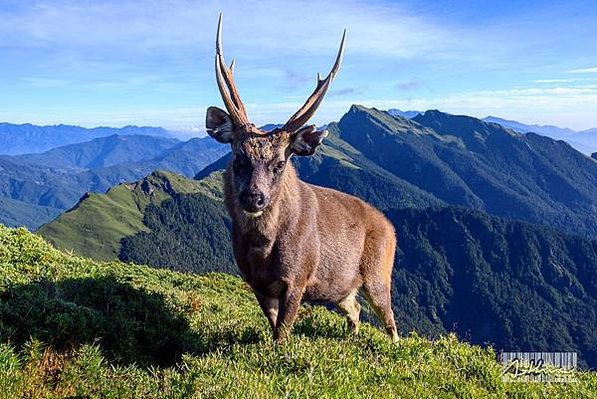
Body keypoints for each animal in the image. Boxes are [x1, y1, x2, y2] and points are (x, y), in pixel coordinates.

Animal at [207, 14, 398, 342]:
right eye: (237, 157)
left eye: (280, 163)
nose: (253, 197)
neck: (262, 249)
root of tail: (392, 229)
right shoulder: (256, 283)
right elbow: (273, 326)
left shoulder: (299, 276)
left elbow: (283, 332)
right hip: (340, 286)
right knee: (355, 308)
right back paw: (351, 336)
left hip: (379, 273)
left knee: (390, 319)